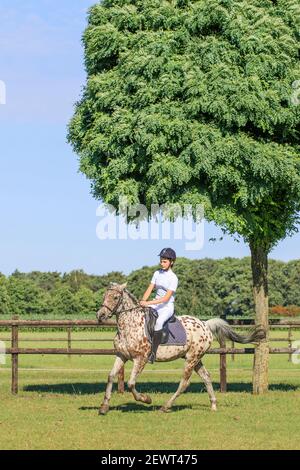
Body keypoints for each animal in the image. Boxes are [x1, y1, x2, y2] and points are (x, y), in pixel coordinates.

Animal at [96, 280, 264, 414]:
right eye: (104, 296)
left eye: (115, 297)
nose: (100, 315)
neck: (130, 325)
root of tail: (205, 324)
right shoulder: (122, 355)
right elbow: (111, 376)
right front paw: (104, 407)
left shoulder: (141, 358)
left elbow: (131, 383)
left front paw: (146, 399)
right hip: (195, 359)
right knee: (206, 377)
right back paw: (213, 405)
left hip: (191, 359)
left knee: (184, 383)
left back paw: (165, 406)